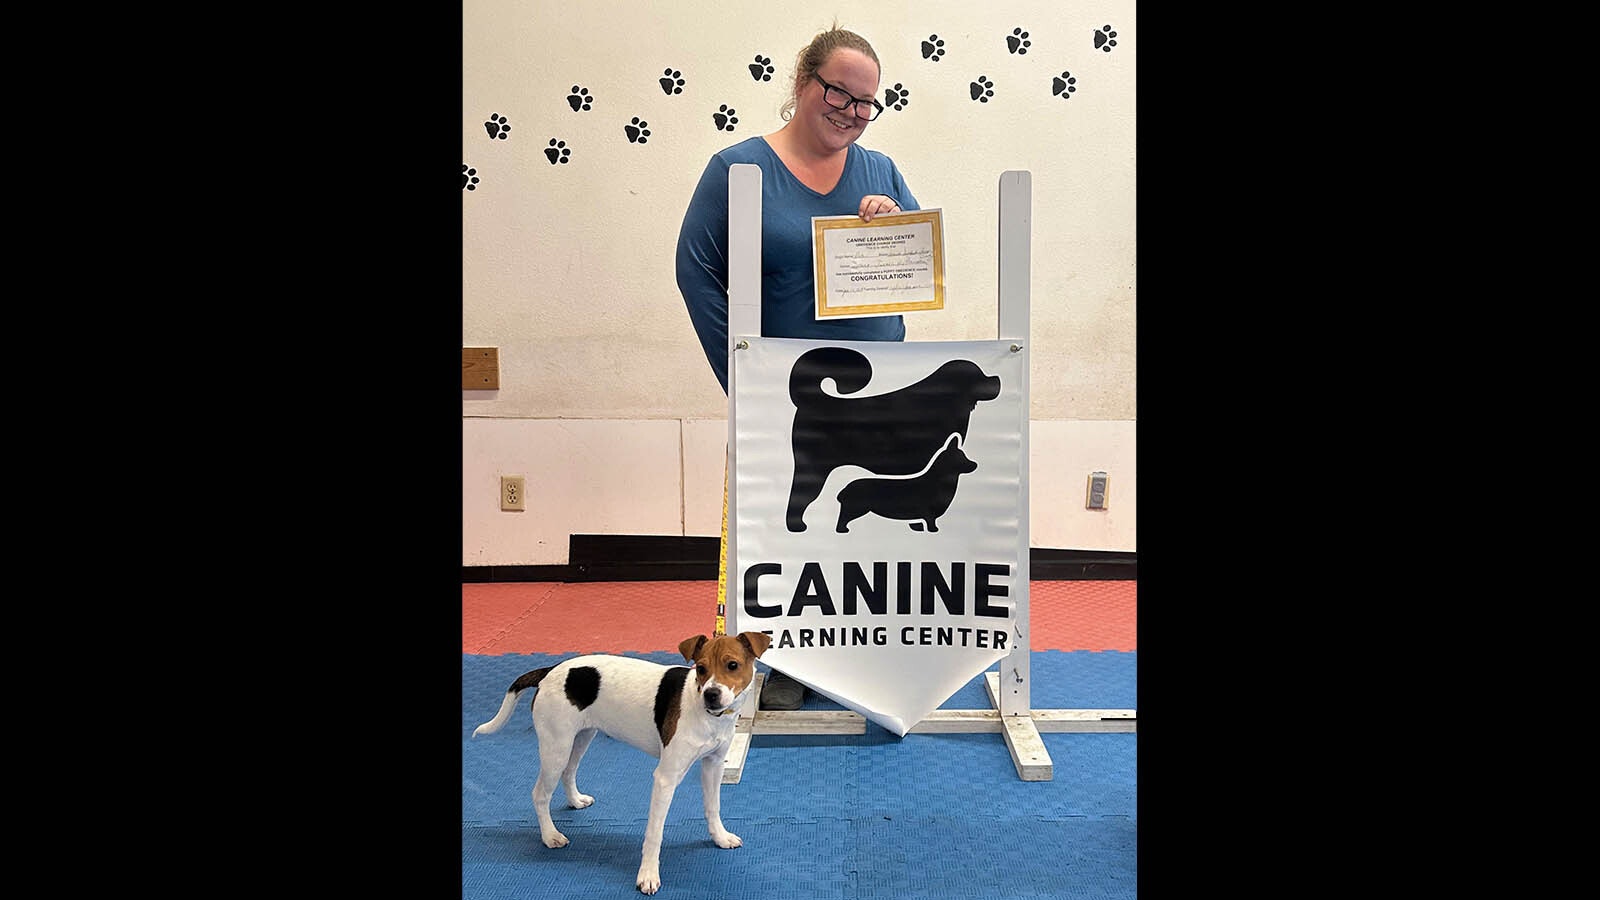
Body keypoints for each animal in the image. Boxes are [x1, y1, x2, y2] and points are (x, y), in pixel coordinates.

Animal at [467, 630, 768, 890]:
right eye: (701, 668)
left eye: (732, 665)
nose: (711, 694)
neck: (706, 714)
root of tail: (550, 670)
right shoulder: (666, 778)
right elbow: (654, 833)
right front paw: (648, 875)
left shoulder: (713, 766)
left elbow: (713, 807)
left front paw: (719, 837)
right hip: (556, 747)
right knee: (540, 793)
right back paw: (550, 836)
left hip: (580, 738)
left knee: (569, 772)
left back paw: (575, 801)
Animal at [838, 429, 972, 528]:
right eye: (961, 457)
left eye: (964, 456)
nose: (975, 464)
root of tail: (843, 491)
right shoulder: (927, 512)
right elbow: (930, 522)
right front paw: (934, 530)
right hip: (854, 508)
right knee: (842, 520)